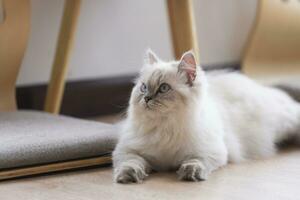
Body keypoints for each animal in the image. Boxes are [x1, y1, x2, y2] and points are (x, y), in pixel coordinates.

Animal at [112, 49, 300, 184]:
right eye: (143, 87)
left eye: (164, 88)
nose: (146, 98)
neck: (165, 128)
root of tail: (262, 87)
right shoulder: (127, 151)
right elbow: (131, 162)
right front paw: (127, 176)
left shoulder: (210, 151)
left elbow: (195, 161)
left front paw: (191, 174)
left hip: (286, 120)